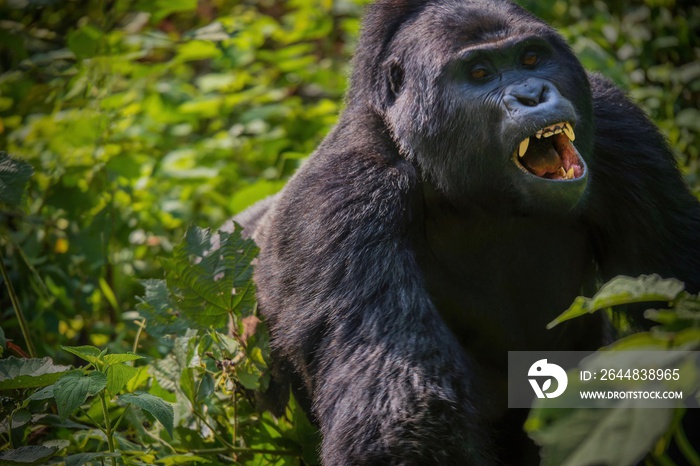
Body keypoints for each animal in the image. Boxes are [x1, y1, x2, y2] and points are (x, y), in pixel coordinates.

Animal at [232, 1, 700, 464]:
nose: (532, 95)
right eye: (479, 73)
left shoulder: (620, 126)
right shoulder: (341, 201)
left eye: (532, 58)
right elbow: (403, 418)